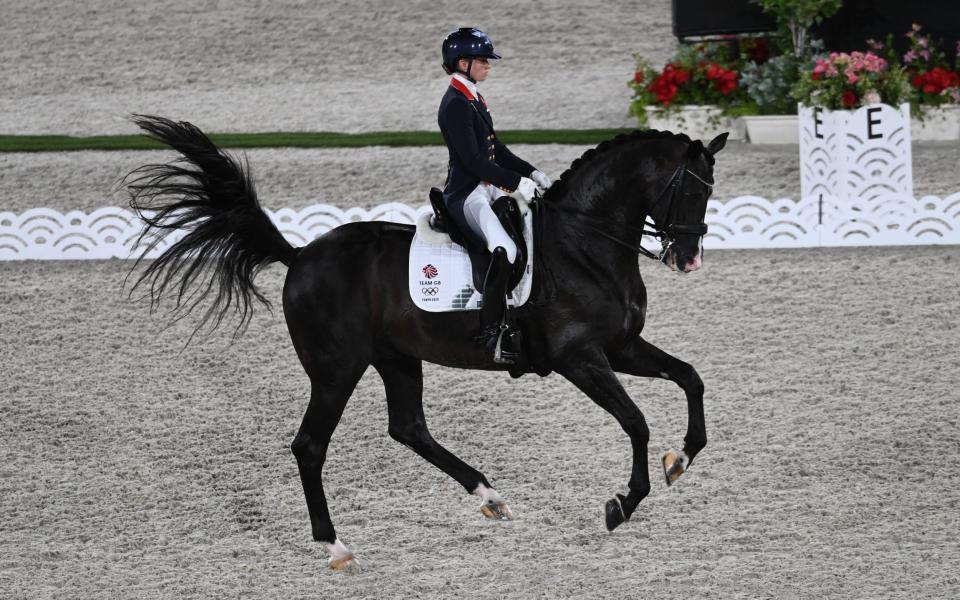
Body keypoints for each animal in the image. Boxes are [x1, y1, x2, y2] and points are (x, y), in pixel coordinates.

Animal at [127, 116, 728, 572]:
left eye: (710, 189)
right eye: (687, 188)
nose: (688, 258)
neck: (584, 244)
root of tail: (300, 256)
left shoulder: (621, 347)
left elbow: (692, 377)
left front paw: (682, 458)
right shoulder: (579, 358)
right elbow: (635, 421)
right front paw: (623, 504)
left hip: (397, 359)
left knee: (409, 428)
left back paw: (491, 497)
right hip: (336, 370)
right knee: (311, 446)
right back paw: (336, 546)